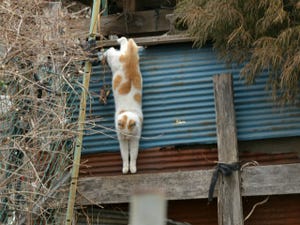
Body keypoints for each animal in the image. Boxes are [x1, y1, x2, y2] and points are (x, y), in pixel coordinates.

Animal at [104, 37, 143, 174]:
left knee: (125, 42)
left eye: (129, 135)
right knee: (115, 47)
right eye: (124, 136)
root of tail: (130, 54)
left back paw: (119, 40)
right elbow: (125, 155)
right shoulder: (122, 141)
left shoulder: (135, 139)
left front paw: (132, 168)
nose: (126, 137)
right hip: (114, 59)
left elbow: (134, 155)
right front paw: (126, 168)